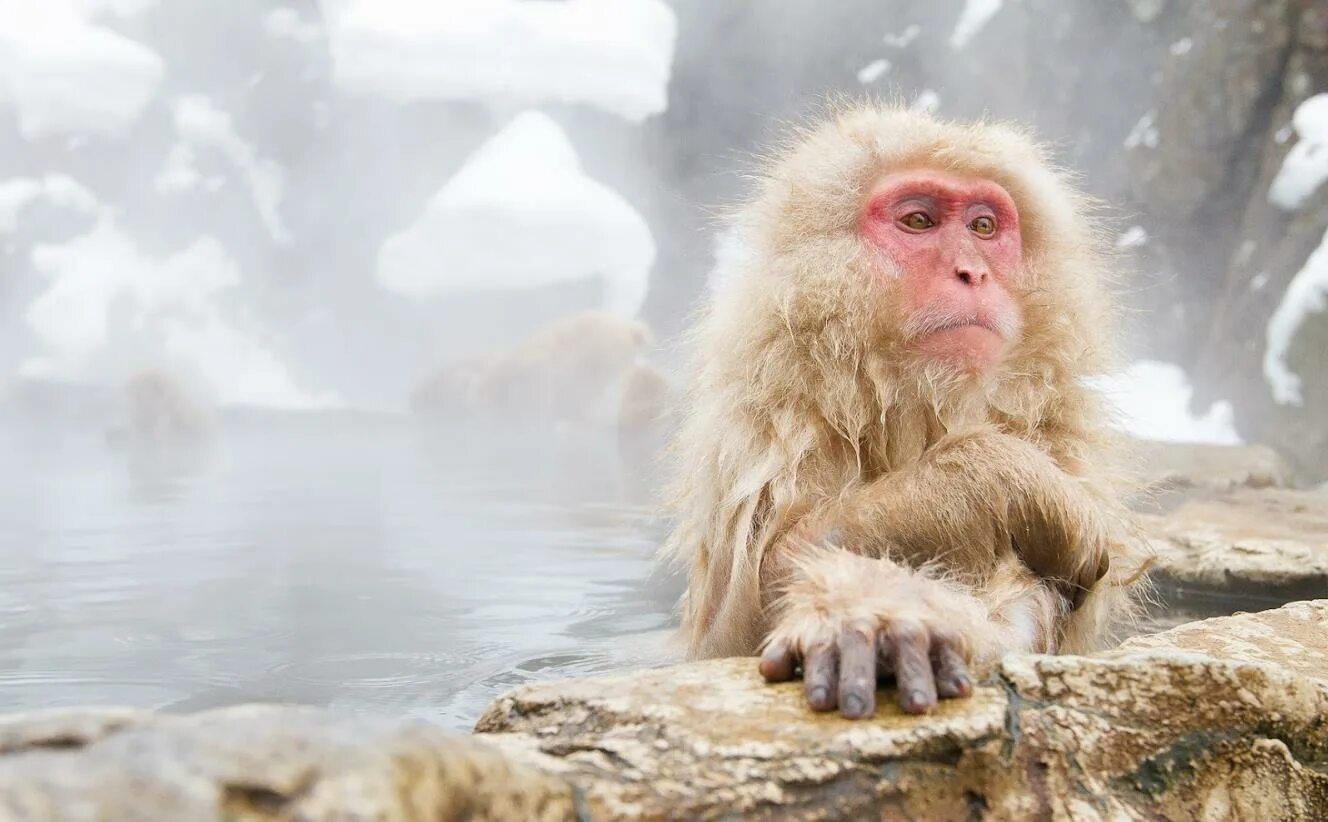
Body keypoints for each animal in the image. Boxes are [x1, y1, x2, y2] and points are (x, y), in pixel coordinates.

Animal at [669, 104, 1147, 722]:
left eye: (983, 228)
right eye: (918, 221)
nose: (972, 271)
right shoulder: (769, 425)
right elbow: (740, 615)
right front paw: (875, 615)